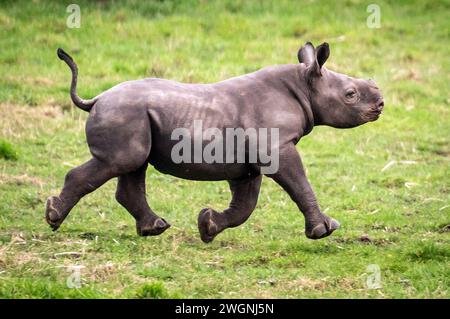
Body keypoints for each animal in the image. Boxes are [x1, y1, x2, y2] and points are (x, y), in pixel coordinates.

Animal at [45, 42, 384, 242]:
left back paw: (155, 229)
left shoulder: (251, 161)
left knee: (132, 166)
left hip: (132, 115)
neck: (304, 85)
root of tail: (95, 99)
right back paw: (53, 219)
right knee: (121, 162)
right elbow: (300, 184)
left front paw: (208, 226)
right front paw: (324, 230)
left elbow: (245, 205)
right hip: (123, 112)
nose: (381, 104)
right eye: (350, 95)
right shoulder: (277, 147)